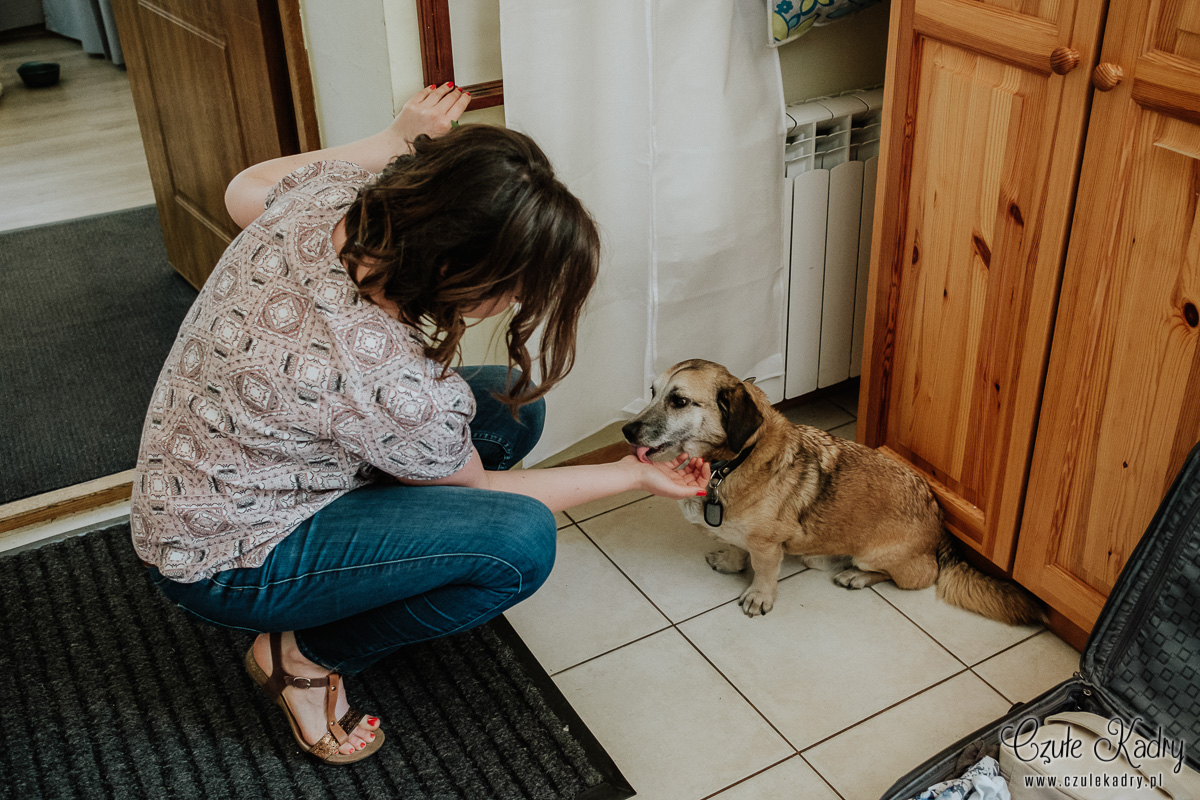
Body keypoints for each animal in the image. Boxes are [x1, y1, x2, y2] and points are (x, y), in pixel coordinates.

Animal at [624, 359, 1046, 628]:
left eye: (679, 401)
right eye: (652, 392)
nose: (627, 431)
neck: (731, 463)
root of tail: (941, 529)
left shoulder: (767, 545)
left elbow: (763, 572)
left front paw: (759, 596)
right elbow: (734, 546)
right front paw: (730, 559)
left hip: (879, 556)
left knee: (917, 576)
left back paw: (856, 577)